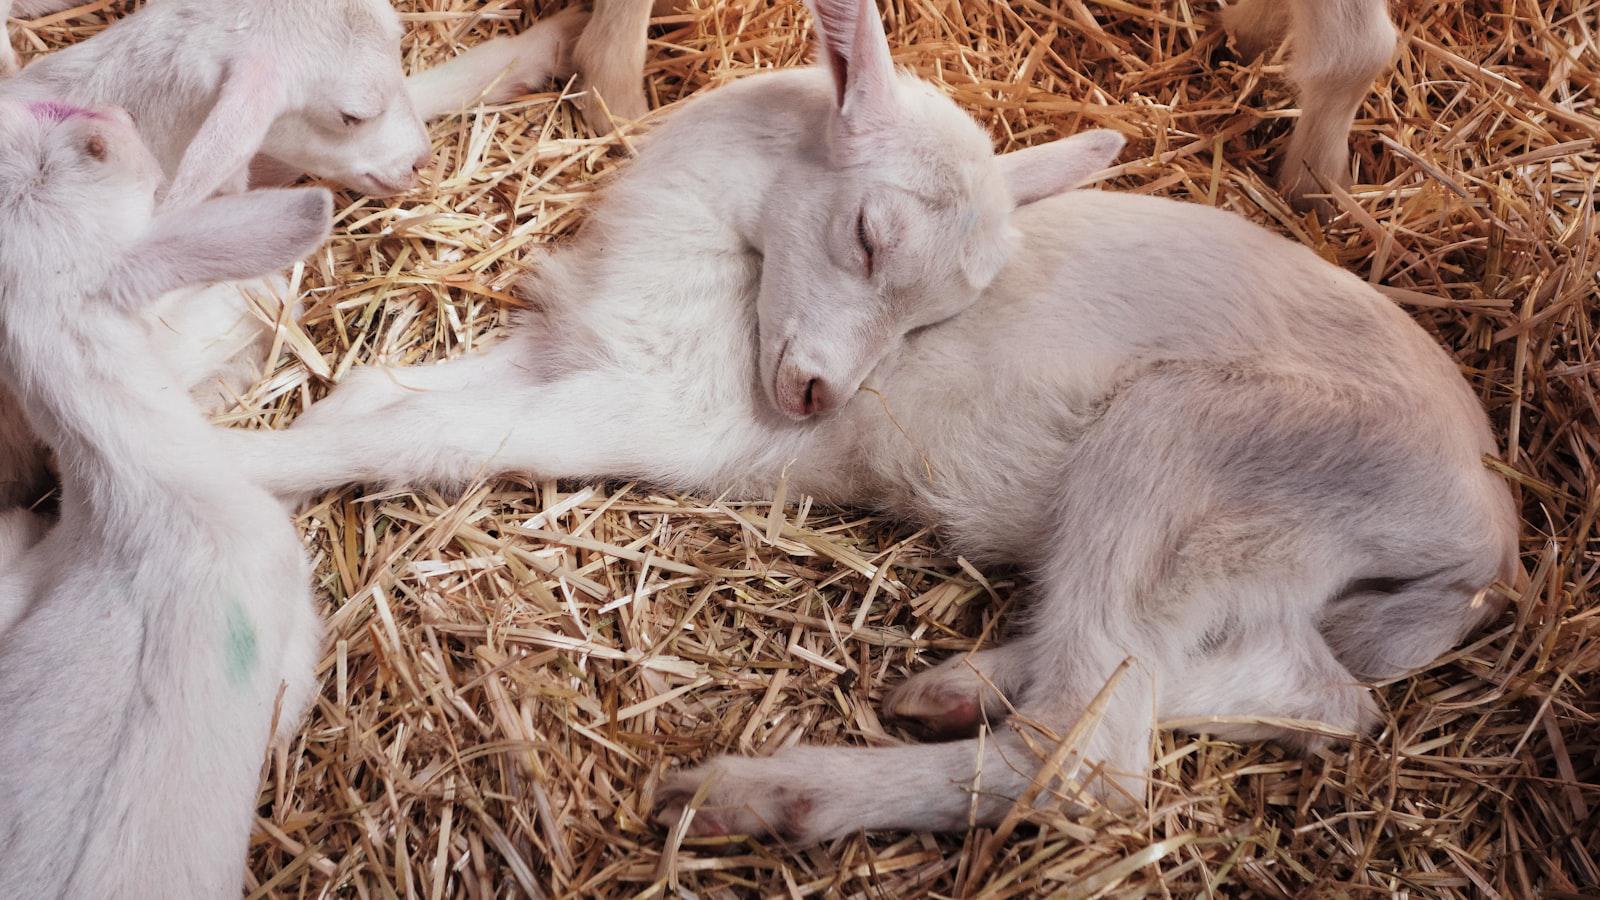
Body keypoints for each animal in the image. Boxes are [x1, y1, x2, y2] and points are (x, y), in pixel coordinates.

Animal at [223, 0, 1518, 843]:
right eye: (867, 237)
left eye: (938, 314)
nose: (815, 399)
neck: (713, 273)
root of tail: (1485, 538)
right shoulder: (577, 347)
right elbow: (389, 396)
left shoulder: (666, 410)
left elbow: (417, 436)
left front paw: (230, 459)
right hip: (1260, 559)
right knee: (1310, 690)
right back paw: (958, 685)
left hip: (1190, 441)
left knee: (1094, 764)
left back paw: (766, 795)